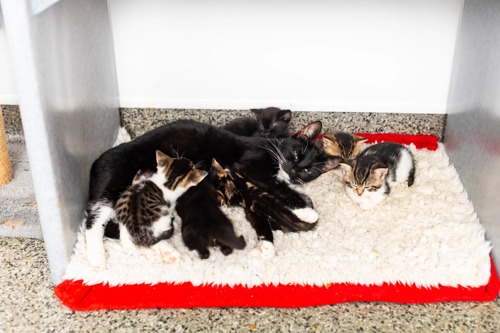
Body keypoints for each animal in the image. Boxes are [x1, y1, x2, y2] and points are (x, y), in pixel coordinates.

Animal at [85, 119, 340, 264]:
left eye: (307, 170)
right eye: (296, 154)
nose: (293, 169)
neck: (273, 146)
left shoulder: (251, 195)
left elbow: (259, 217)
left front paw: (266, 247)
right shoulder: (250, 166)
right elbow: (277, 186)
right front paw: (307, 210)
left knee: (124, 231)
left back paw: (165, 251)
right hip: (114, 181)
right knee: (96, 221)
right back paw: (96, 256)